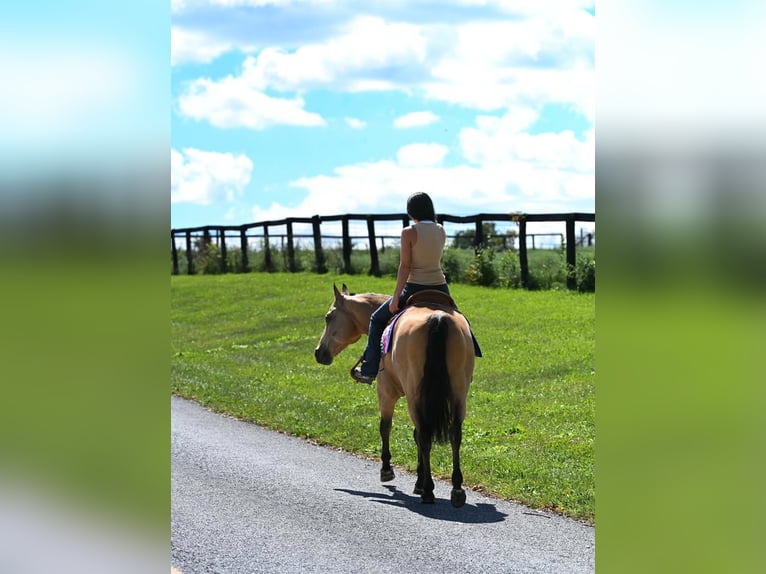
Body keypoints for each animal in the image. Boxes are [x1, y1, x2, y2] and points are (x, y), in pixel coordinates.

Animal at [314, 283, 475, 507]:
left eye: (328, 317)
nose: (318, 352)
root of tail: (438, 318)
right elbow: (415, 434)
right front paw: (418, 481)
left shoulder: (386, 392)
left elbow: (386, 427)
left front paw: (388, 470)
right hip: (458, 394)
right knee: (454, 434)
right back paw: (457, 489)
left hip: (415, 395)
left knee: (425, 435)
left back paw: (429, 491)